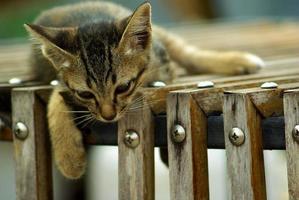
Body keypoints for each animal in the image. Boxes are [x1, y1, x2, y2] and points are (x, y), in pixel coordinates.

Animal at [25, 0, 264, 179]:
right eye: (85, 94)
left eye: (123, 87)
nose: (108, 115)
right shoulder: (56, 78)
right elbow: (57, 97)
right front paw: (69, 158)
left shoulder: (162, 64)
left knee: (186, 52)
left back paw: (239, 61)